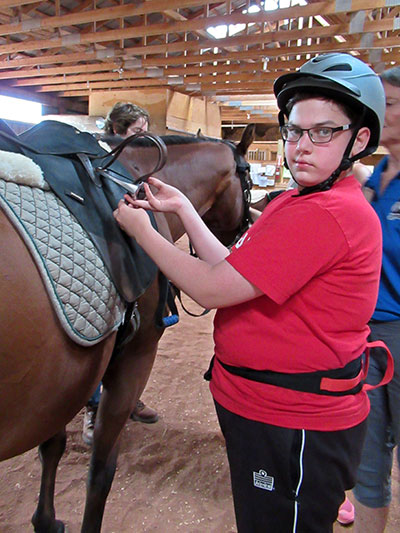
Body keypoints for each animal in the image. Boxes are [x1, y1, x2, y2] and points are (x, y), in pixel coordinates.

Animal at [0, 122, 255, 528]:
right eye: (248, 183)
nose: (242, 235)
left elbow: (52, 447)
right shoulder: (134, 357)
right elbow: (101, 473)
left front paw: (46, 520)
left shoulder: (59, 386)